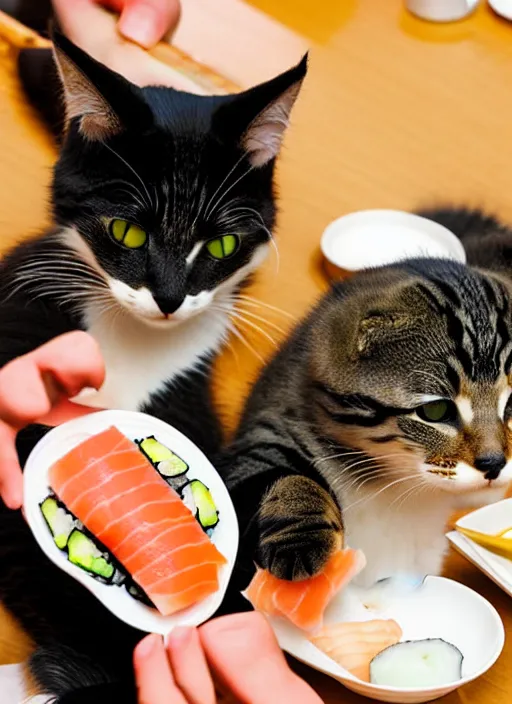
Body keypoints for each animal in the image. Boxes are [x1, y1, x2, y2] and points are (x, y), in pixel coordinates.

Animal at [223, 209, 512, 600]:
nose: (495, 463)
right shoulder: (264, 428)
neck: (393, 481)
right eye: (436, 411)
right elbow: (282, 476)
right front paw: (300, 540)